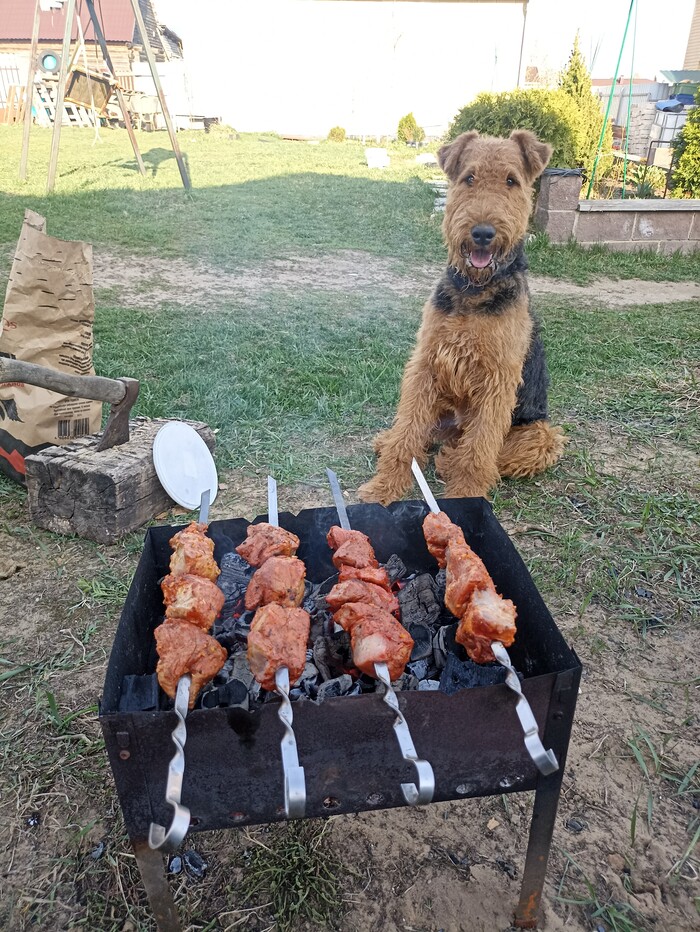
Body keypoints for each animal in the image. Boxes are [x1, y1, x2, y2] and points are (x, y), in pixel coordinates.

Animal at [357, 129, 566, 505]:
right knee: (418, 434)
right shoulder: (425, 364)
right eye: (469, 178)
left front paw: (466, 493)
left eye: (511, 181)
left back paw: (449, 459)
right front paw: (384, 486)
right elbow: (407, 433)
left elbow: (479, 450)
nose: (482, 233)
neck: (474, 289)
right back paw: (391, 441)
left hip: (541, 435)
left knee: (482, 452)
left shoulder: (497, 380)